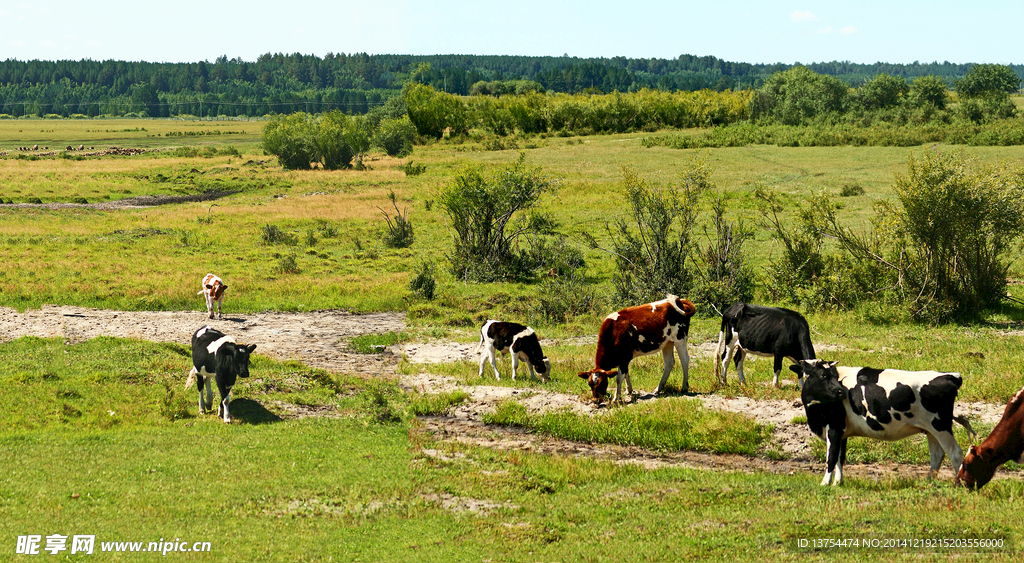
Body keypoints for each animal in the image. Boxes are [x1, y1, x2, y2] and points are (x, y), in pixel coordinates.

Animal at [794, 362, 970, 485]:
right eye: (823, 376)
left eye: (833, 375)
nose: (841, 392)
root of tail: (950, 375)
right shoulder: (843, 431)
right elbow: (840, 457)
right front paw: (838, 482)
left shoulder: (834, 427)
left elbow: (831, 457)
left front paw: (825, 483)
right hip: (931, 429)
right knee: (937, 455)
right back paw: (928, 483)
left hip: (941, 426)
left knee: (955, 453)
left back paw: (959, 484)